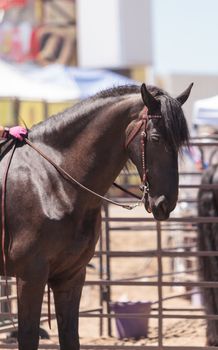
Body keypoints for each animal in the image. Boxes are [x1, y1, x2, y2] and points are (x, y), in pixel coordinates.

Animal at [0, 83, 192, 348]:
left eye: (181, 143)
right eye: (155, 138)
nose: (166, 203)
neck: (52, 181)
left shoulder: (71, 276)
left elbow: (70, 337)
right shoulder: (31, 277)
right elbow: (28, 337)